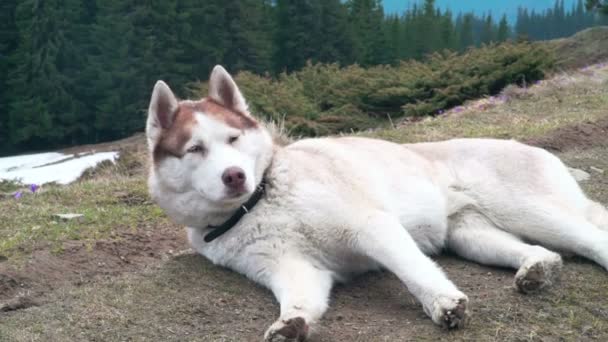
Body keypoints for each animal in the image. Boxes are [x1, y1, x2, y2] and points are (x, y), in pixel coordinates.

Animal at [146, 65, 608, 340]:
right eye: (195, 149)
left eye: (233, 139)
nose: (235, 176)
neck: (262, 200)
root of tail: (528, 145)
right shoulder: (293, 268)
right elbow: (299, 301)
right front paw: (291, 324)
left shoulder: (370, 227)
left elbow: (415, 272)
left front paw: (442, 304)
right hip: (473, 236)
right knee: (542, 252)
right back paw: (537, 270)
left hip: (530, 211)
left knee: (589, 238)